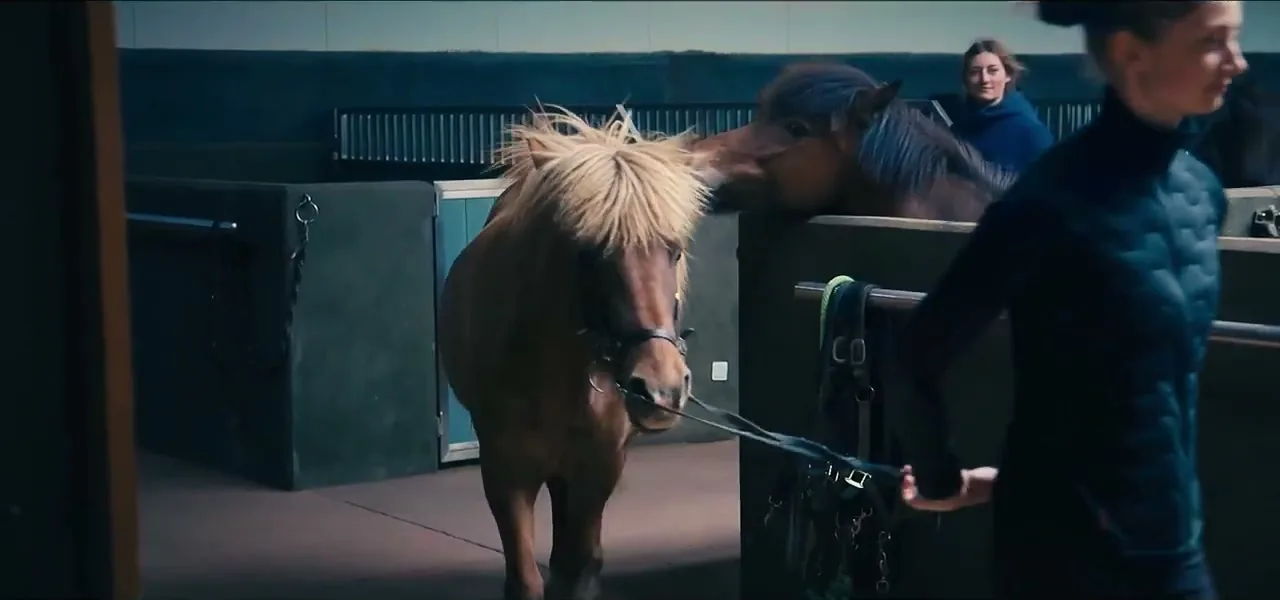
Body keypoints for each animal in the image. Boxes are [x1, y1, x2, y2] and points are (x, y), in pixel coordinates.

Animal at [437, 106, 712, 600]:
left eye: (675, 251)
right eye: (588, 252)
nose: (659, 389)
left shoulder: (598, 468)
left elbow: (577, 568)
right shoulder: (505, 471)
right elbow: (525, 579)